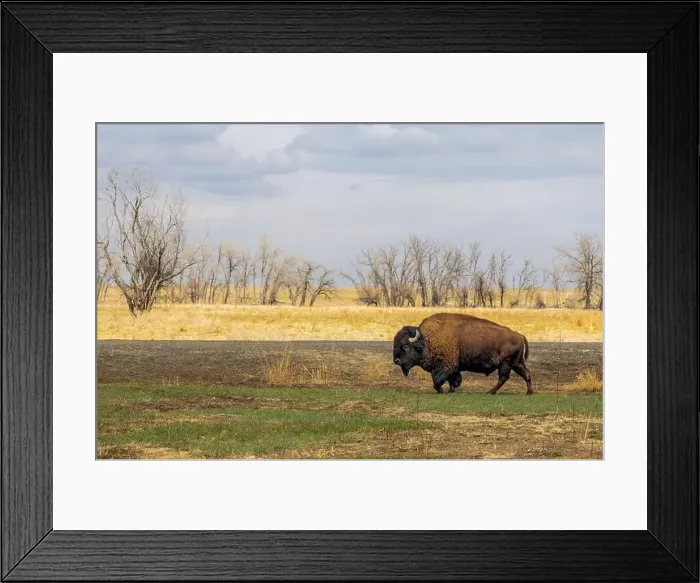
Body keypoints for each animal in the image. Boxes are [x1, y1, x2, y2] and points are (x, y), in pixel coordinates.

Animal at [392, 312, 533, 395]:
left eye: (406, 346)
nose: (396, 360)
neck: (427, 339)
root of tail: (519, 335)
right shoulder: (452, 368)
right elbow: (451, 379)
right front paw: (451, 389)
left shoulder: (447, 366)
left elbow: (437, 380)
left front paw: (442, 389)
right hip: (516, 363)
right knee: (526, 373)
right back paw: (529, 392)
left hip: (506, 363)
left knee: (504, 377)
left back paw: (490, 392)